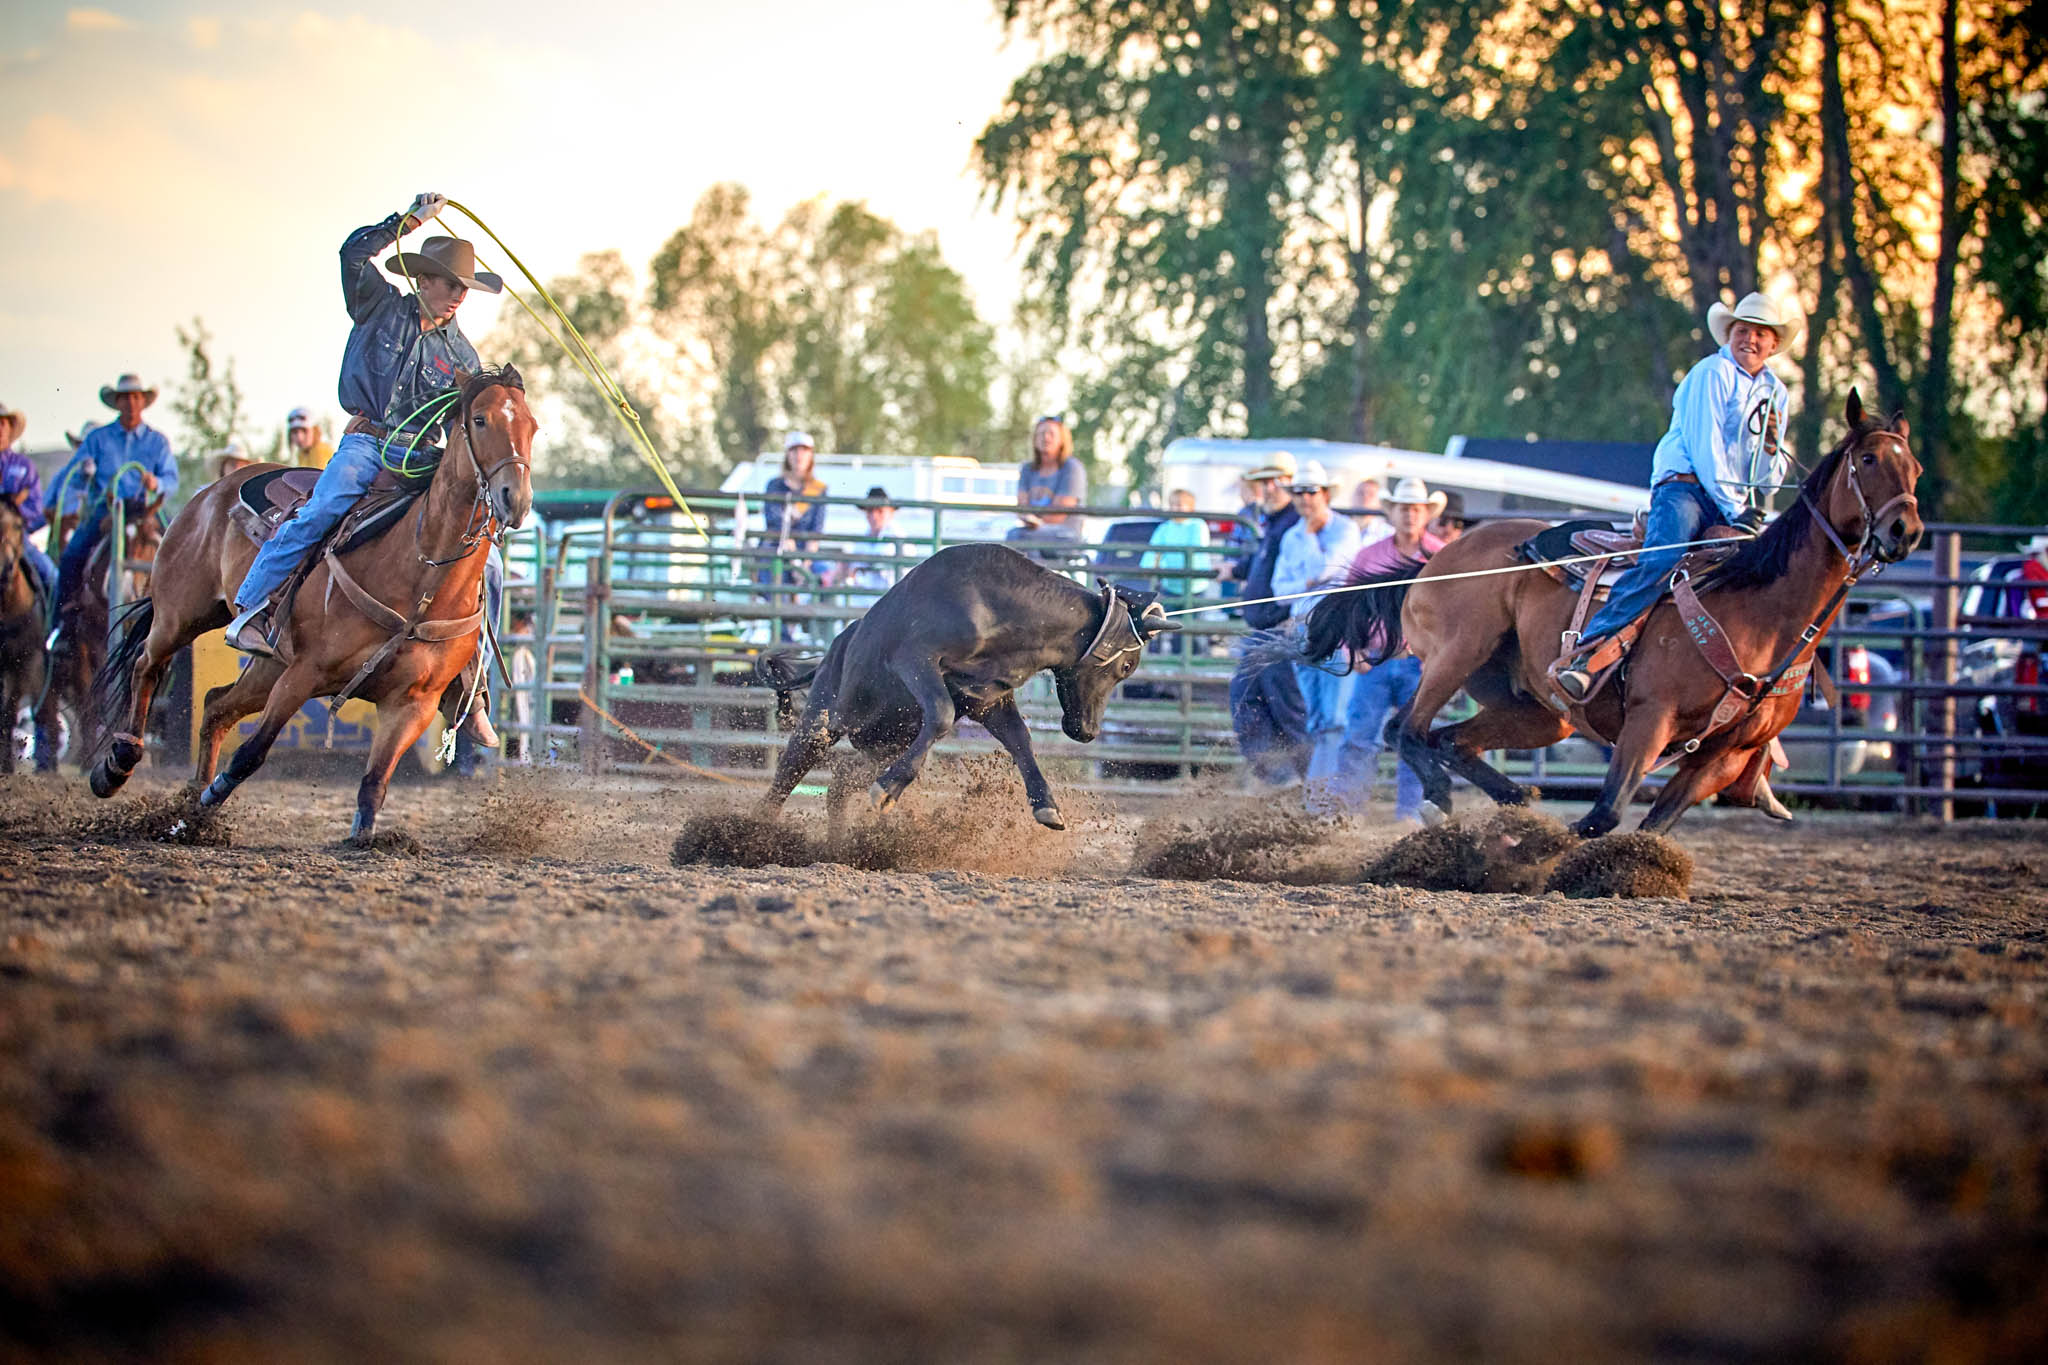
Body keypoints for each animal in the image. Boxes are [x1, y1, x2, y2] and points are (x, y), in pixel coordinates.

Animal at [91, 368, 532, 847]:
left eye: (531, 426)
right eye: (480, 419)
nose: (516, 498)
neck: (421, 579)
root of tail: (212, 491)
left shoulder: (412, 704)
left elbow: (375, 782)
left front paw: (362, 837)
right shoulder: (305, 673)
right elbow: (251, 753)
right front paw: (193, 814)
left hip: (268, 664)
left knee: (215, 706)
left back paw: (188, 796)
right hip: (182, 613)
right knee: (146, 665)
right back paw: (117, 765)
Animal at [1302, 394, 1925, 839]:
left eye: (1914, 467)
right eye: (1868, 459)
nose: (1907, 530)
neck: (1760, 615)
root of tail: (1436, 558)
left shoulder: (1729, 754)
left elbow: (1655, 824)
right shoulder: (1651, 717)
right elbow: (1604, 812)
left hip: (1537, 709)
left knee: (1453, 740)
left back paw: (1517, 802)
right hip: (1457, 654)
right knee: (1406, 729)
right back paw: (1453, 800)